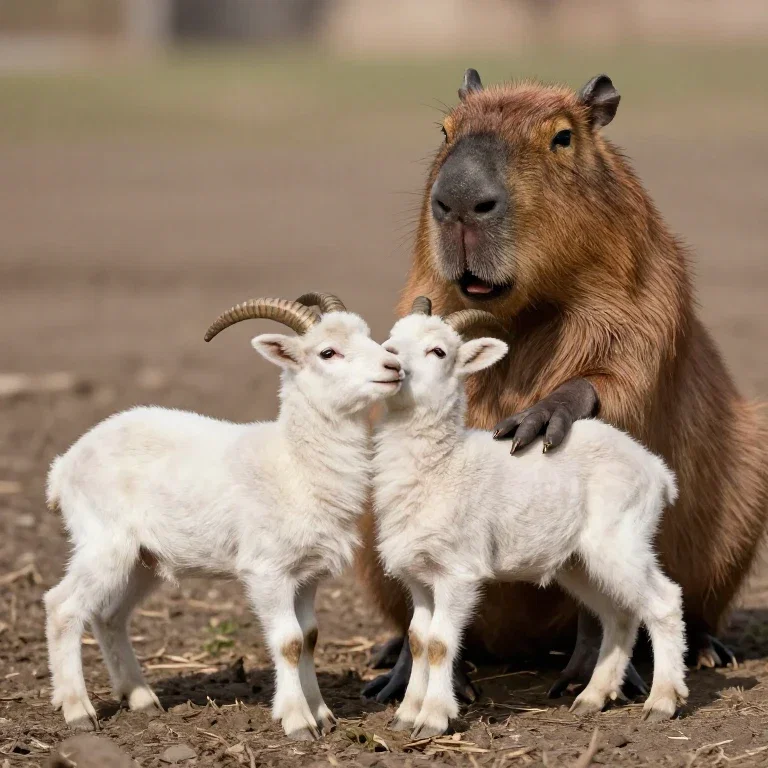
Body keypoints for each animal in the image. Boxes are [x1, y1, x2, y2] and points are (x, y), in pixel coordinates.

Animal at [44, 293, 403, 740]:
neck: (293, 462)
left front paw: (322, 713)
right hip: (102, 543)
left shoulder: (307, 574)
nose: (394, 367)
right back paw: (78, 711)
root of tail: (64, 466)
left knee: (109, 616)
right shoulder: (266, 570)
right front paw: (298, 721)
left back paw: (141, 699)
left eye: (368, 335)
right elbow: (288, 641)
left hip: (142, 560)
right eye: (327, 352)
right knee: (62, 607)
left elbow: (310, 637)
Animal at [373, 297, 688, 738]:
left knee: (664, 603)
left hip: (621, 539)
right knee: (619, 615)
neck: (443, 463)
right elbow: (418, 640)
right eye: (391, 338)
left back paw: (662, 702)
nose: (390, 360)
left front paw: (433, 717)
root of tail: (658, 472)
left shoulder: (458, 572)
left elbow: (439, 643)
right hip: (580, 563)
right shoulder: (419, 576)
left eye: (438, 351)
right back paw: (591, 698)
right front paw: (406, 716)